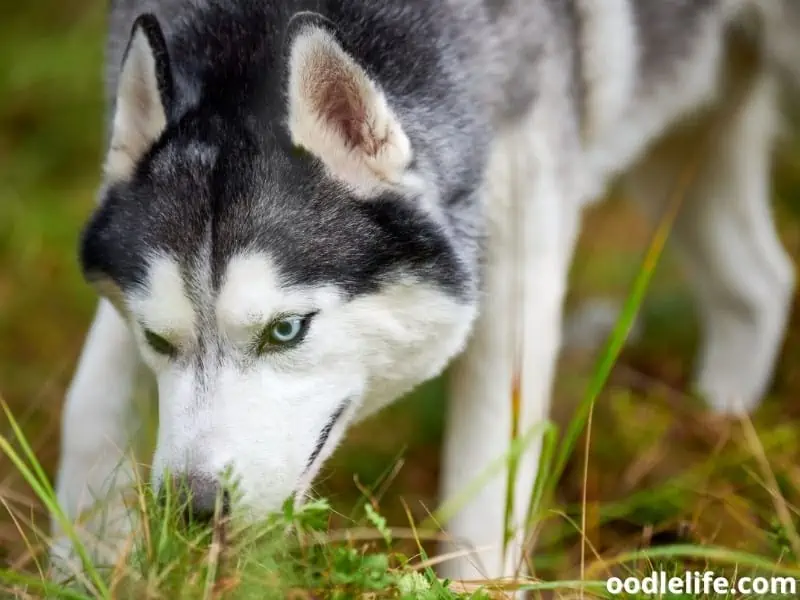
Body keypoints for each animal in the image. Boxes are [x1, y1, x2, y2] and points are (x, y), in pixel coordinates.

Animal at [53, 0, 796, 584]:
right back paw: (718, 434)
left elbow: (489, 475)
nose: (196, 507)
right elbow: (90, 409)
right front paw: (79, 565)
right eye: (156, 338)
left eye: (286, 330)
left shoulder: (521, 252)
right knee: (755, 287)